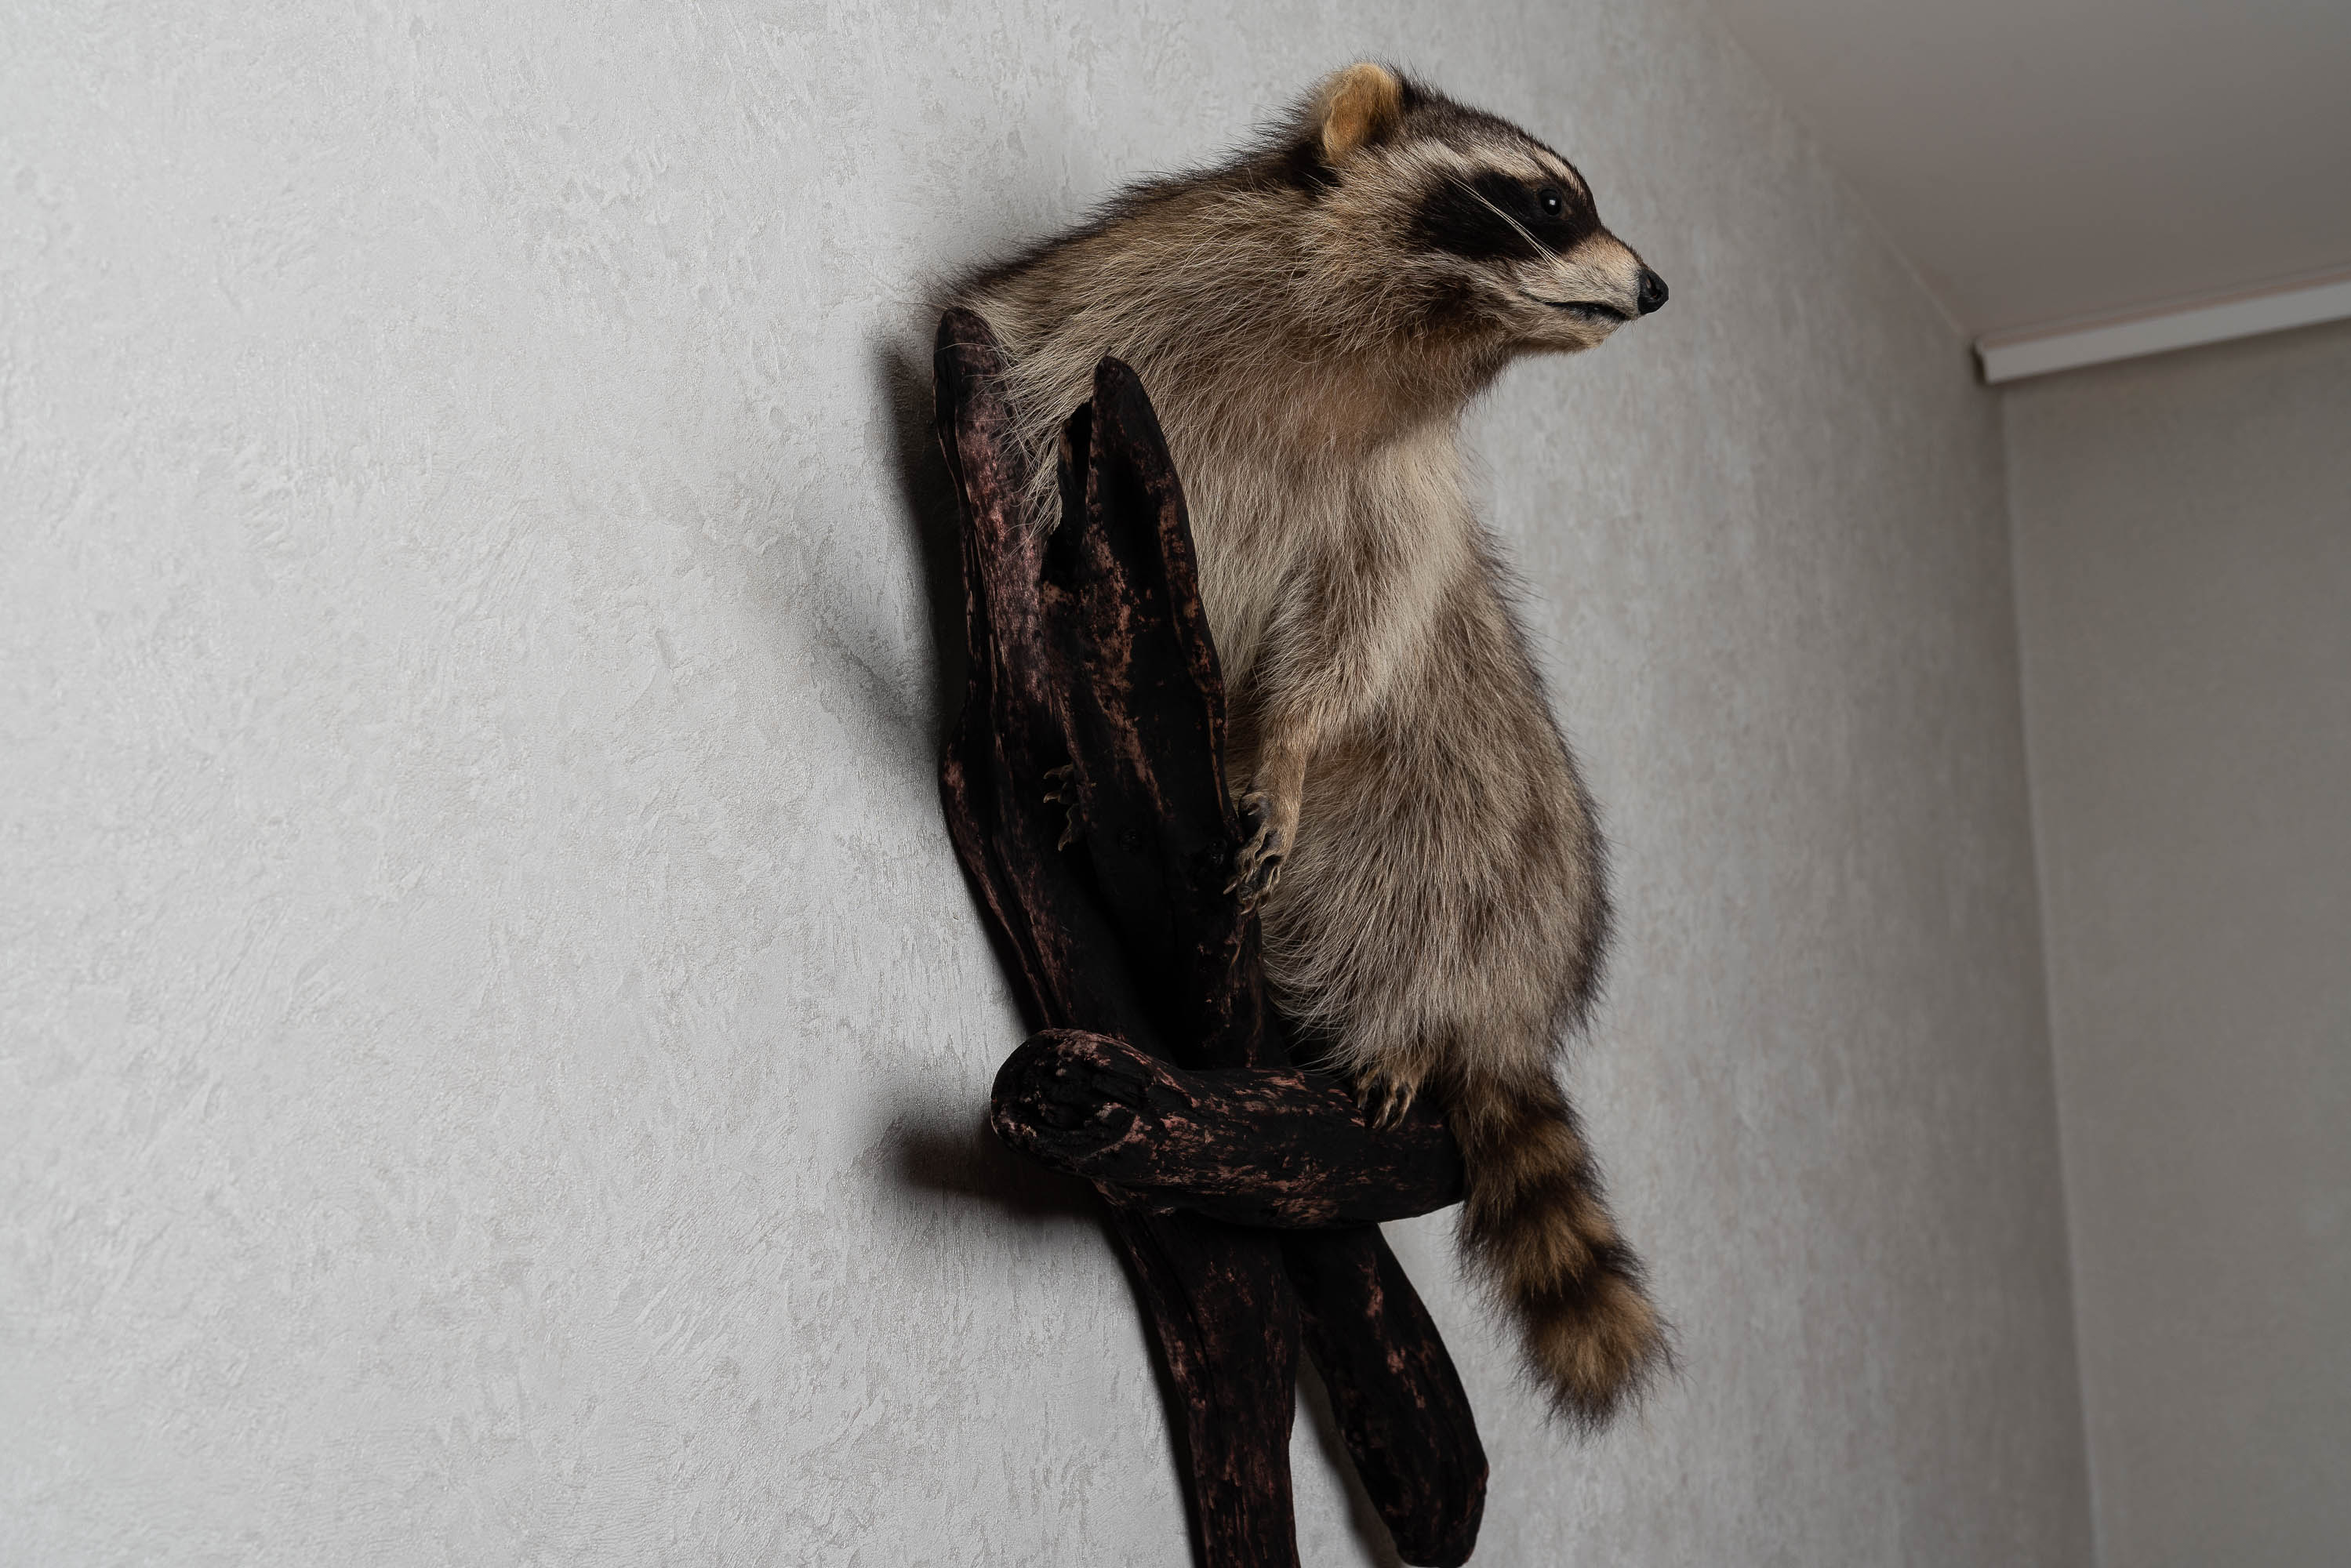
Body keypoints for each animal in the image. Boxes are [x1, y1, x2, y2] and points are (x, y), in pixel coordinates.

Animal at [956, 63, 1671, 1427]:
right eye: (1549, 201)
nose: (1657, 287)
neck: (1392, 345)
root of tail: (1508, 1008)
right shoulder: (1098, 314)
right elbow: (1022, 409)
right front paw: (1059, 734)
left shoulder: (1402, 489)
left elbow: (1357, 634)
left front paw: (1282, 747)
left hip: (1492, 830)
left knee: (1441, 839)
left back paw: (1408, 1024)